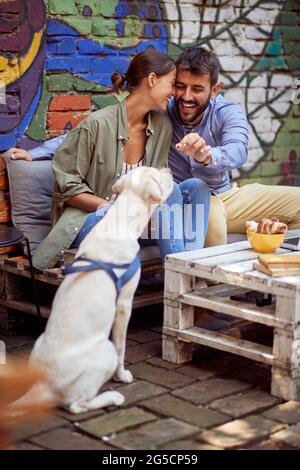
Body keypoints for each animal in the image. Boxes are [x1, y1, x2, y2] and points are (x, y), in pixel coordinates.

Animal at [12, 167, 173, 414]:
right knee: (77, 405)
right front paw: (122, 376)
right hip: (104, 351)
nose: (169, 169)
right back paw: (113, 397)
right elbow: (121, 346)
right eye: (158, 175)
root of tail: (43, 385)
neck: (120, 222)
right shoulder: (124, 303)